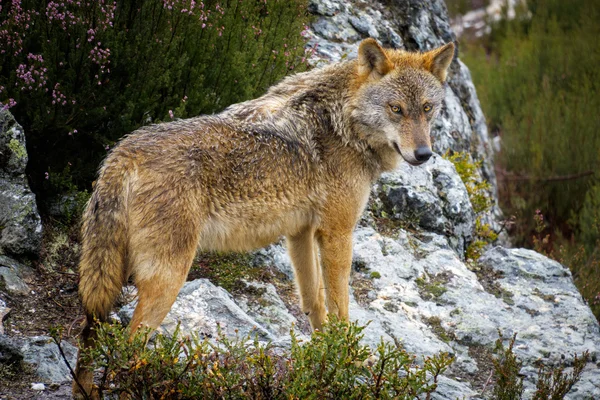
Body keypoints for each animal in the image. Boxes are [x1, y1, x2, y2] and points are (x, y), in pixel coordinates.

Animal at [72, 38, 452, 396]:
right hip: (168, 278)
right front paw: (348, 359)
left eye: (427, 109)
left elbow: (314, 303)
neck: (342, 122)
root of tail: (122, 154)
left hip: (110, 280)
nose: (424, 154)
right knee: (124, 350)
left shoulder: (300, 233)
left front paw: (323, 359)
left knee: (89, 336)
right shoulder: (337, 233)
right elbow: (340, 308)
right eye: (396, 109)